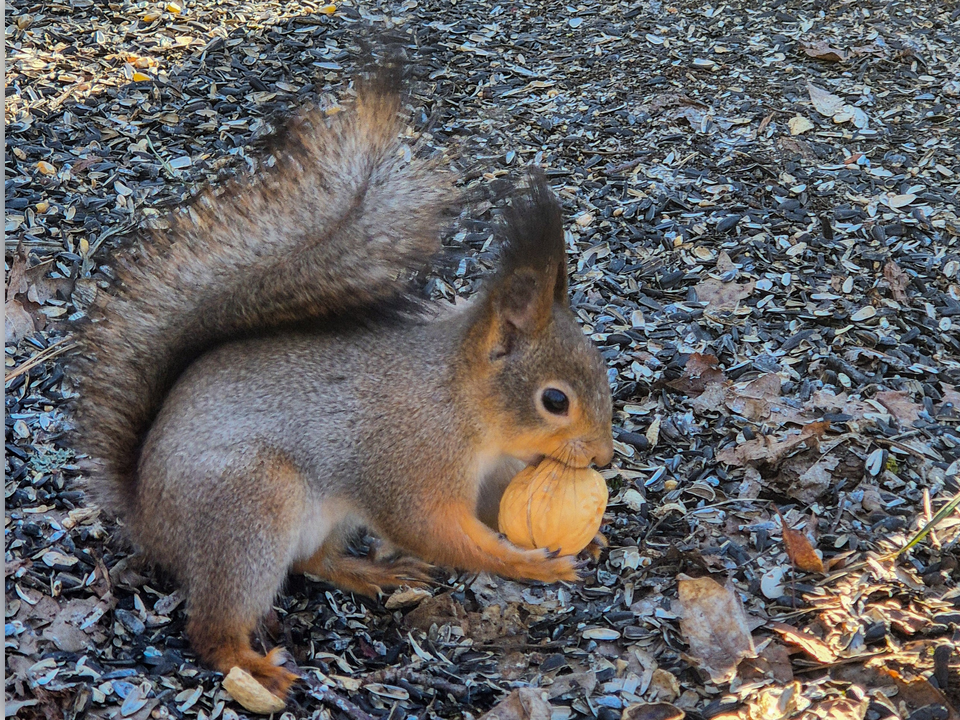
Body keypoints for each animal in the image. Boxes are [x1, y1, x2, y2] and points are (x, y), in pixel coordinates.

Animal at [69, 66, 616, 696]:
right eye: (554, 400)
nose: (603, 457)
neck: (463, 404)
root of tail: (146, 514)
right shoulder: (409, 461)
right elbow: (435, 529)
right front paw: (529, 563)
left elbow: (491, 508)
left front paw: (591, 536)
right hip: (247, 514)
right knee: (212, 626)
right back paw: (257, 668)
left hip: (321, 517)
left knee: (313, 562)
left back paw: (369, 572)